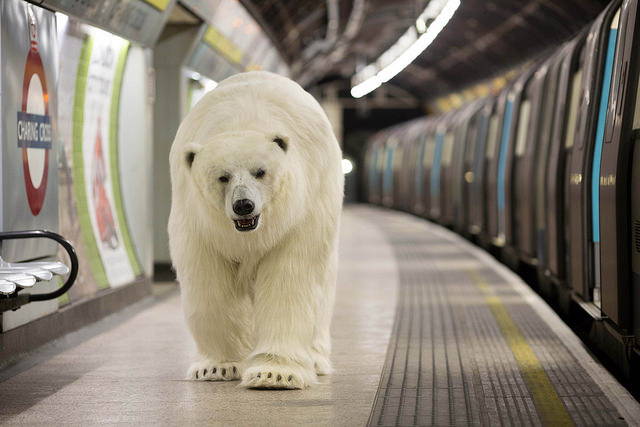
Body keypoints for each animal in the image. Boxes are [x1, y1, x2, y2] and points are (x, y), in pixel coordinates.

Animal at [168, 71, 344, 389]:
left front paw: (274, 373)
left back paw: (316, 359)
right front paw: (216, 366)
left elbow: (289, 278)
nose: (244, 205)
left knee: (322, 289)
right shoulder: (198, 220)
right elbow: (209, 282)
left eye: (260, 172)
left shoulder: (297, 217)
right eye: (222, 177)